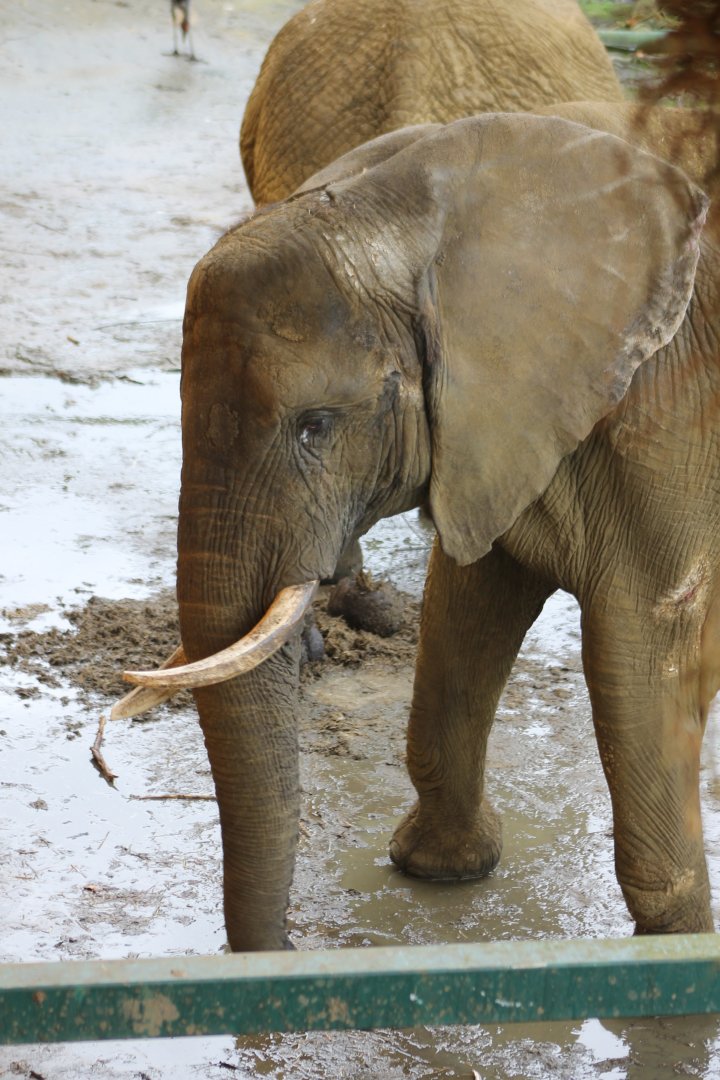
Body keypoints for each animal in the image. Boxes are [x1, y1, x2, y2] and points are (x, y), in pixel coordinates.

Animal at [116, 104, 720, 951]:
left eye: (315, 426)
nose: (285, 950)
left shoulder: (671, 418)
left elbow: (646, 643)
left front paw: (679, 950)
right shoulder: (495, 419)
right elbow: (465, 610)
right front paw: (441, 869)